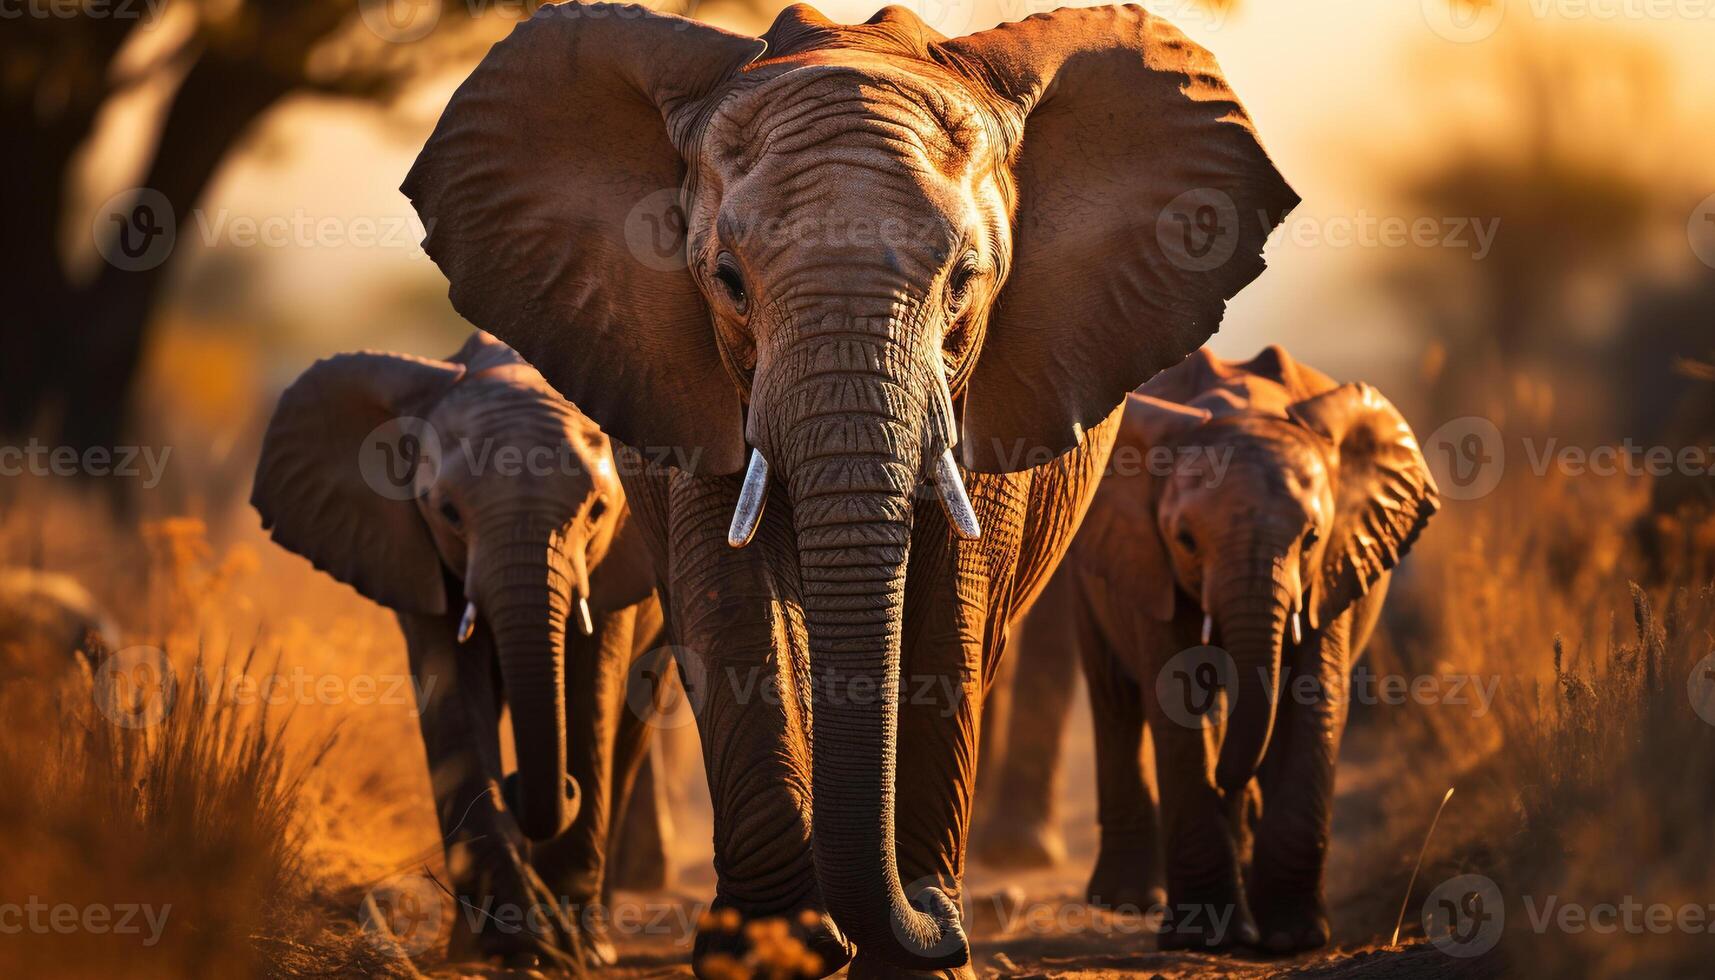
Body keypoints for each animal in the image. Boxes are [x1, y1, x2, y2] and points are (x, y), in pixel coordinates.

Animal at [253, 332, 668, 967]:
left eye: (598, 511)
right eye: (447, 512)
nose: (547, 787)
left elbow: (592, 695)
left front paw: (571, 951)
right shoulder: (407, 544)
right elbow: (453, 698)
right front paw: (514, 948)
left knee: (629, 726)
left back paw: (596, 940)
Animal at [408, 5, 1289, 974]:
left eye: (965, 281)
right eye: (726, 280)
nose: (941, 919)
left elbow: (949, 613)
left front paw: (918, 952)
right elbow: (733, 603)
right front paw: (774, 950)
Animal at [1015, 348, 1433, 954]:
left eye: (1311, 538)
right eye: (1186, 540)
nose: (1228, 786)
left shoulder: (1334, 570)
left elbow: (1311, 700)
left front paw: (1292, 937)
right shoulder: (1150, 562)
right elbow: (1179, 701)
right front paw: (1204, 938)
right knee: (1116, 697)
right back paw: (1128, 901)